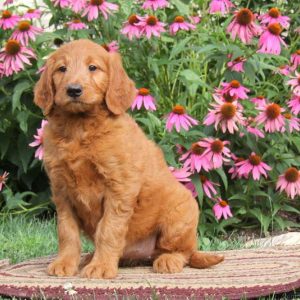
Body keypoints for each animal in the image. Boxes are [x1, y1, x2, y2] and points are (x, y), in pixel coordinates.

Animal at [34, 39, 224, 278]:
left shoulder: (119, 186)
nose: (74, 90)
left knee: (184, 252)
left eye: (93, 68)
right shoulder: (61, 190)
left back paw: (168, 260)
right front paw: (65, 263)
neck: (80, 127)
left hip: (180, 215)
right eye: (62, 69)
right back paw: (90, 258)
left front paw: (101, 267)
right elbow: (66, 231)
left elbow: (108, 229)